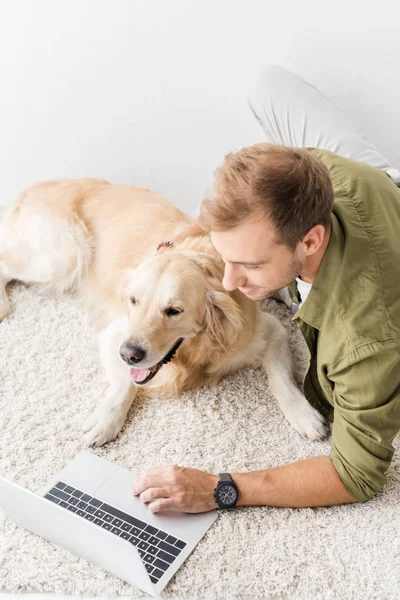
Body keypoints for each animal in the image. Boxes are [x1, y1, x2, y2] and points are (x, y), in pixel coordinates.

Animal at [0, 178, 324, 446]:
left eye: (173, 310)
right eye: (133, 301)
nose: (130, 354)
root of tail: (34, 187)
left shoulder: (267, 330)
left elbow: (281, 379)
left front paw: (304, 414)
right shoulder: (115, 334)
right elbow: (124, 383)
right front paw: (106, 421)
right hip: (63, 256)